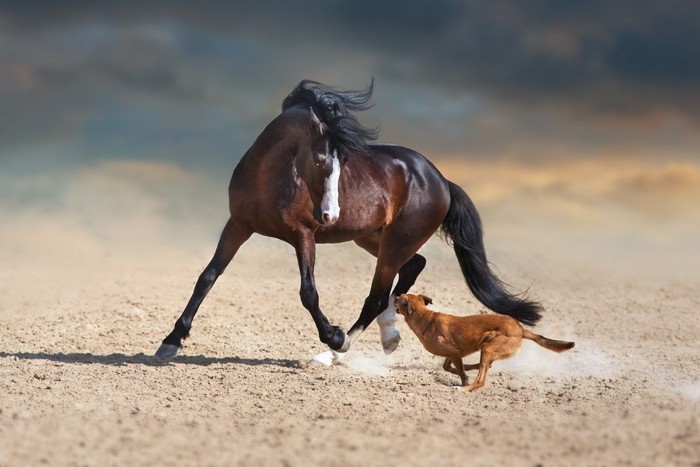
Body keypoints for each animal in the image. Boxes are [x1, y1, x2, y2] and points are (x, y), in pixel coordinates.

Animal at [156, 80, 544, 366]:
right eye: (321, 159)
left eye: (342, 161)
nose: (329, 215)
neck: (270, 177)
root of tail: (441, 179)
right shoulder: (237, 225)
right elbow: (207, 277)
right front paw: (171, 342)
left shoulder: (303, 235)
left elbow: (308, 292)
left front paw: (334, 334)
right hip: (373, 238)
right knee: (411, 268)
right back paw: (389, 337)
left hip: (396, 240)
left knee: (376, 295)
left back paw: (333, 353)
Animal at [394, 296, 576, 392]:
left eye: (401, 297)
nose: (394, 295)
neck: (425, 318)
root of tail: (520, 328)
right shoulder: (453, 353)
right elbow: (449, 367)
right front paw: (467, 369)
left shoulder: (453, 352)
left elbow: (460, 371)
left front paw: (464, 380)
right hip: (488, 347)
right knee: (485, 366)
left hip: (487, 346)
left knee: (481, 380)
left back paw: (465, 389)